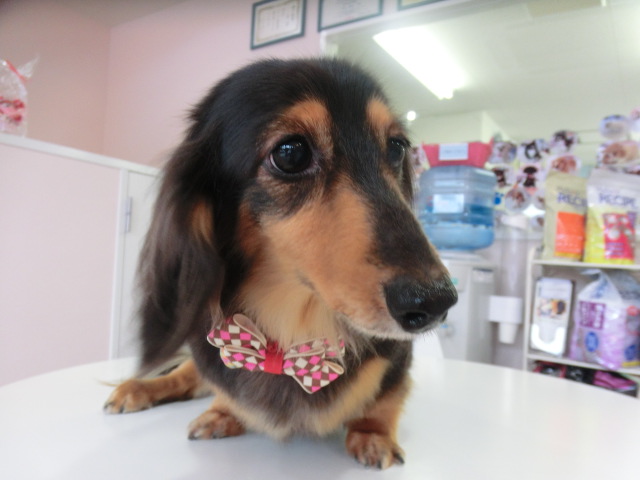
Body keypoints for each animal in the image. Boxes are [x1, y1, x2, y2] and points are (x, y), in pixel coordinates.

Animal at [104, 58, 458, 470]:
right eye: (291, 153)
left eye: (397, 147)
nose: (436, 301)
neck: (293, 332)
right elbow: (220, 387)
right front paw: (223, 412)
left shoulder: (397, 358)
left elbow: (386, 399)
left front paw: (373, 434)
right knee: (187, 374)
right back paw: (137, 388)